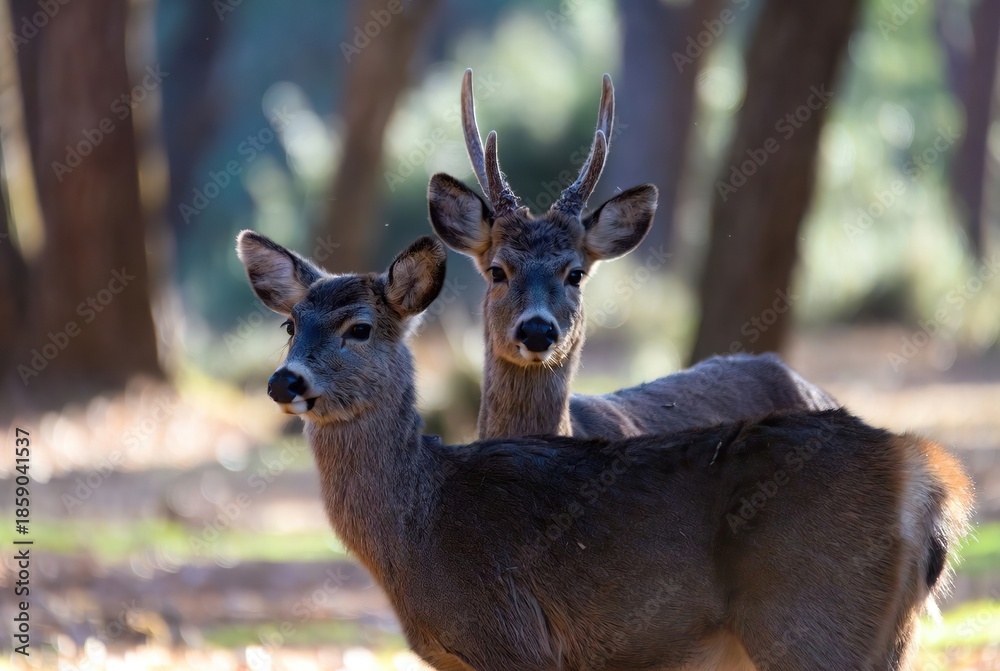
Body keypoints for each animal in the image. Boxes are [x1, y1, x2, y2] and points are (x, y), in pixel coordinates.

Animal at [237, 229, 973, 671]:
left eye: (359, 327)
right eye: (290, 324)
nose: (284, 380)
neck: (421, 527)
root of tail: (929, 480)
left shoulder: (514, 640)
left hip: (813, 618)